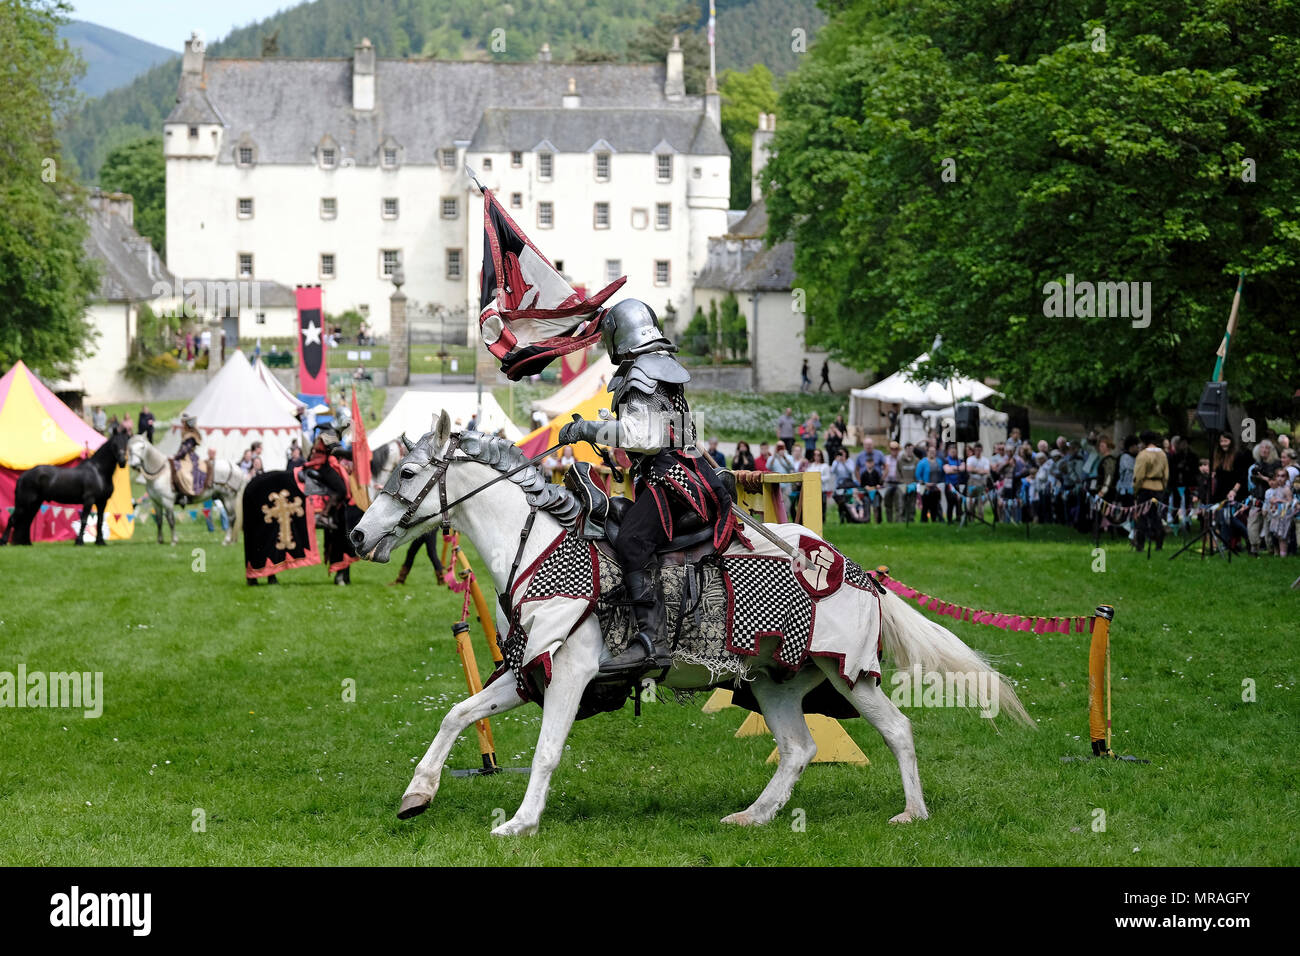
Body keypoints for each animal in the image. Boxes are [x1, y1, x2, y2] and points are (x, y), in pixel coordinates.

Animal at [348, 413, 1034, 837]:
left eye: (406, 473)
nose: (356, 536)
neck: (539, 543)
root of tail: (858, 571)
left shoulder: (569, 671)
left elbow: (545, 751)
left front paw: (519, 823)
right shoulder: (528, 670)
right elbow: (457, 714)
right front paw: (418, 794)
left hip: (847, 673)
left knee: (897, 730)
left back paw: (912, 814)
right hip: (773, 680)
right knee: (798, 747)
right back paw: (755, 817)